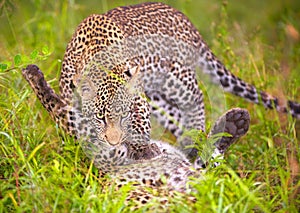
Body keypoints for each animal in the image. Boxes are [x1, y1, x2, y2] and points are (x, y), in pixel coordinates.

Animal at [21, 1, 300, 208]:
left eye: (125, 115)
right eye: (100, 117)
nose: (116, 142)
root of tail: (185, 20)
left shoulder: (139, 105)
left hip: (179, 81)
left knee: (197, 110)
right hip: (161, 104)